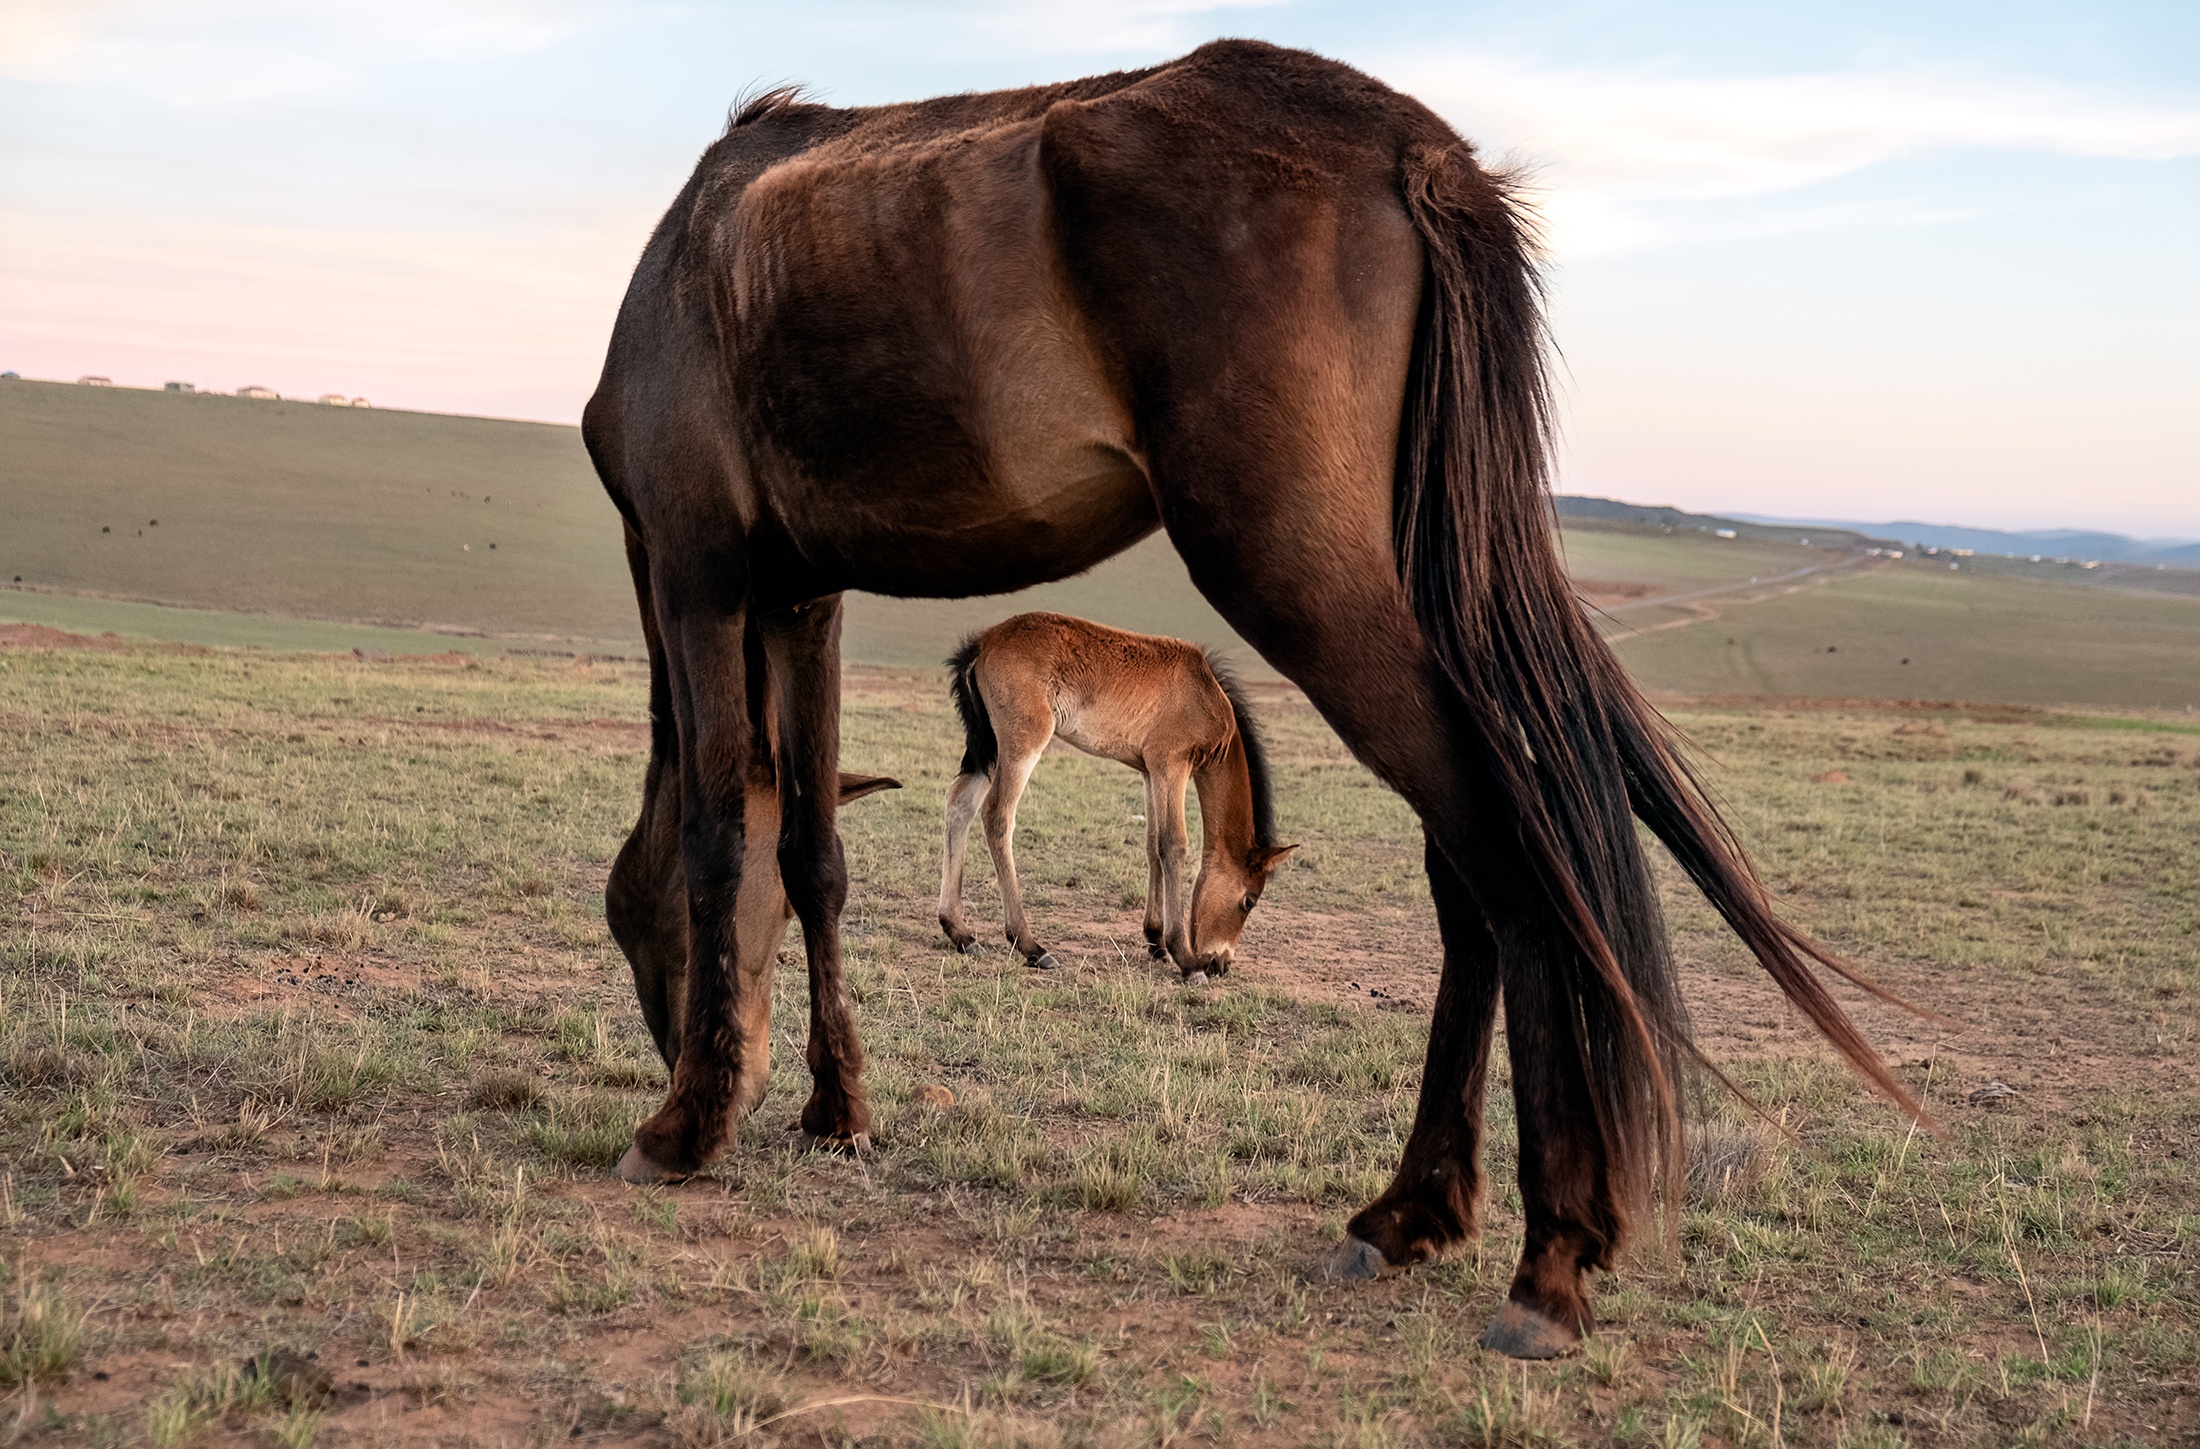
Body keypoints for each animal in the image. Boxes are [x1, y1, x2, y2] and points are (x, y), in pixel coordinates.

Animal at [937, 606, 1293, 980]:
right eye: (1249, 900)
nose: (1220, 964)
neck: (1205, 692)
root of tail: (983, 643)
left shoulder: (1150, 773)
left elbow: (1153, 845)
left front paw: (1156, 941)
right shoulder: (1172, 765)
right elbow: (1174, 845)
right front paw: (1184, 957)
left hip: (987, 750)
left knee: (959, 805)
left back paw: (961, 933)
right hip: (1023, 743)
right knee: (997, 815)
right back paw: (1031, 945)